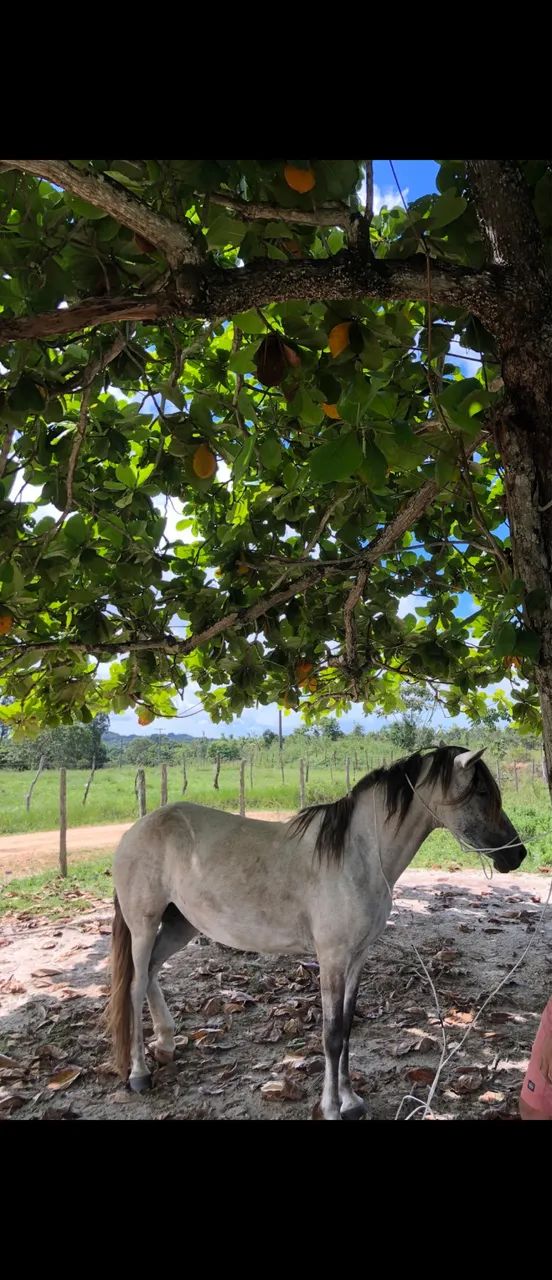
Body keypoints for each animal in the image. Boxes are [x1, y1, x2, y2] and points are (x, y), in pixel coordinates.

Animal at [106, 745, 526, 1119]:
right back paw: (139, 1073)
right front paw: (330, 1108)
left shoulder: (357, 958)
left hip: (181, 925)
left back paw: (165, 1043)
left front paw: (351, 1102)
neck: (358, 856)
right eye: (482, 792)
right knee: (134, 986)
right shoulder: (332, 959)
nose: (517, 854)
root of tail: (137, 830)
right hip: (144, 925)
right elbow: (331, 1035)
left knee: (151, 973)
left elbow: (348, 1026)